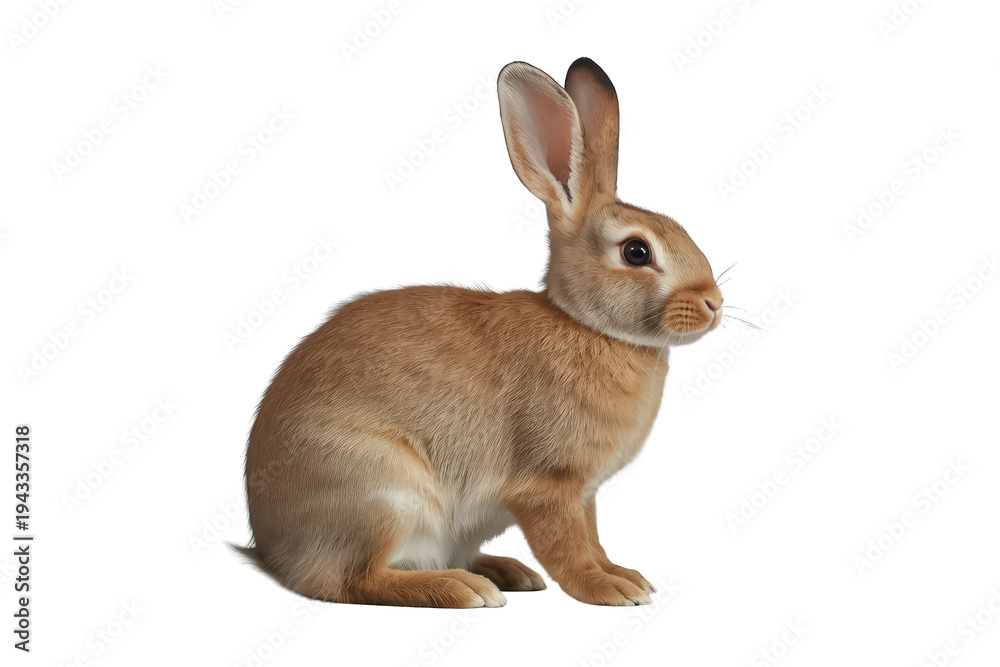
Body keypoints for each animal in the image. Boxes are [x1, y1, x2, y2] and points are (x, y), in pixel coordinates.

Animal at [237, 57, 724, 608]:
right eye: (637, 252)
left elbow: (594, 539)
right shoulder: (548, 488)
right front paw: (611, 590)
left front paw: (627, 575)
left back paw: (505, 572)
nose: (714, 303)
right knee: (351, 580)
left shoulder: (585, 495)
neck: (586, 326)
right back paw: (463, 589)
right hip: (383, 493)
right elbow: (569, 549)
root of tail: (270, 546)